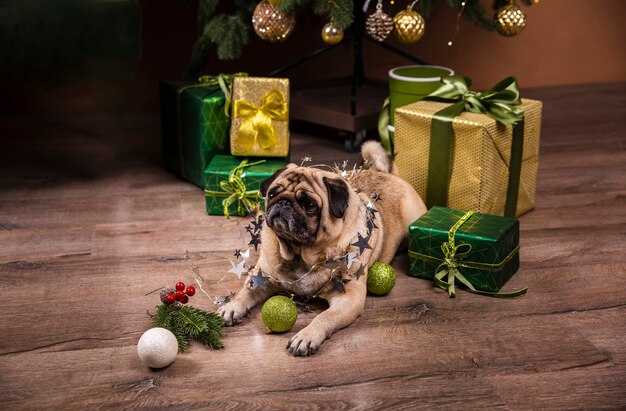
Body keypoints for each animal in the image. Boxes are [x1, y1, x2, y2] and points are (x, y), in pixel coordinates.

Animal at [217, 141, 426, 354]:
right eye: (272, 194)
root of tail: (388, 174)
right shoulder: (261, 276)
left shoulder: (349, 298)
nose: (283, 203)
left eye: (309, 205)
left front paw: (307, 336)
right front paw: (232, 306)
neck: (299, 255)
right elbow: (246, 292)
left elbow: (324, 317)